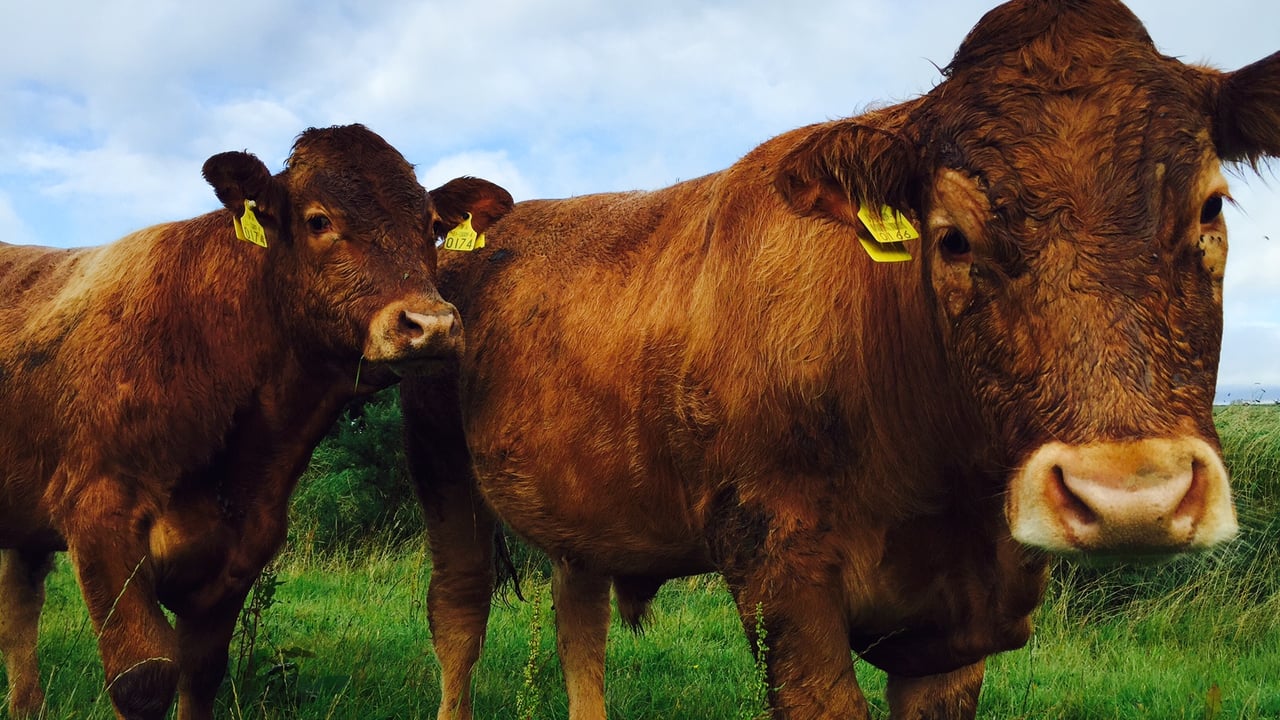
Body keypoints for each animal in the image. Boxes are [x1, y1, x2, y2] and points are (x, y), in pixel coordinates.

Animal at [0, 124, 513, 720]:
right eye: (318, 220)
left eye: (432, 228)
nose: (431, 324)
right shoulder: (99, 513)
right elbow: (143, 679)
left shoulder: (241, 551)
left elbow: (200, 675)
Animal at [401, 0, 1279, 718]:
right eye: (951, 237)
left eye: (1210, 208)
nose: (1132, 497)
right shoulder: (781, 578)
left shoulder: (954, 630)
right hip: (442, 467)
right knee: (459, 611)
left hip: (584, 505)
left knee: (577, 621)